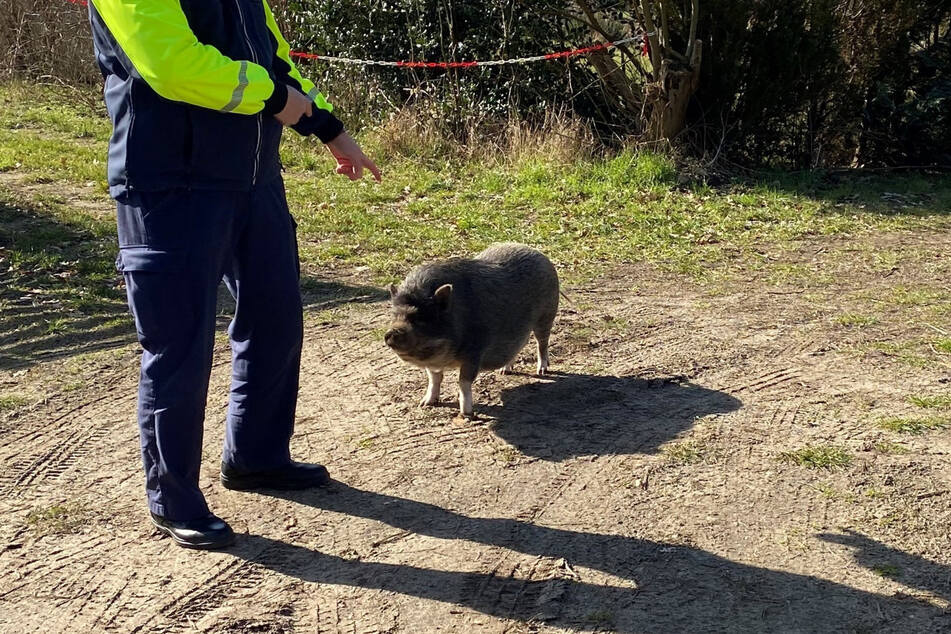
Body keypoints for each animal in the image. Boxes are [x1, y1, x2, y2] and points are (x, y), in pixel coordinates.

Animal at [384, 241, 560, 414]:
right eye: (394, 316)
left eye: (419, 318)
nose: (391, 333)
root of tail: (539, 253)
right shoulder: (434, 363)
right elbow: (434, 378)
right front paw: (425, 404)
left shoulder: (475, 351)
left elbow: (463, 381)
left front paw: (467, 414)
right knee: (520, 344)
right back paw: (504, 371)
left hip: (547, 314)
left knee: (542, 343)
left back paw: (541, 371)